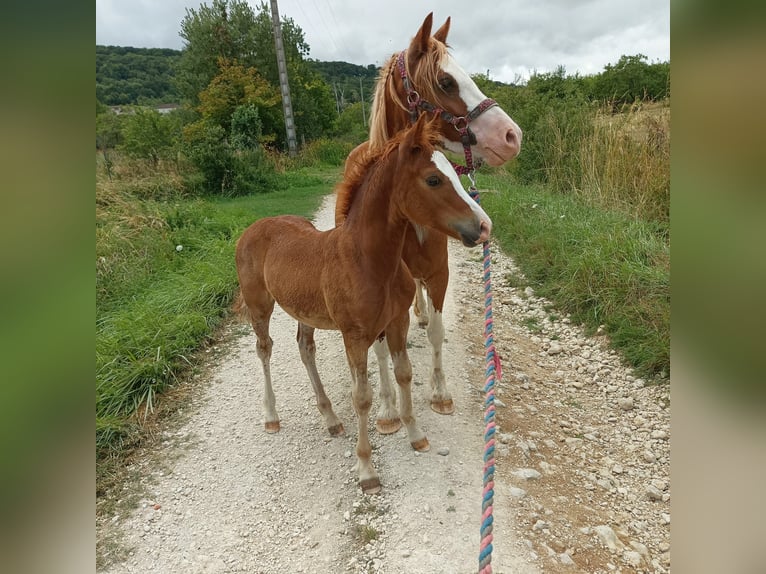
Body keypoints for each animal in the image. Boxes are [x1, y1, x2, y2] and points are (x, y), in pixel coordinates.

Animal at [234, 117, 492, 496]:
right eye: (433, 179)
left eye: (456, 173)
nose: (484, 226)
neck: (369, 261)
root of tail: (253, 227)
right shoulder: (354, 336)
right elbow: (362, 397)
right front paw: (367, 470)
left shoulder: (396, 321)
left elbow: (404, 373)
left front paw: (415, 435)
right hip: (259, 305)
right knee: (264, 348)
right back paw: (271, 416)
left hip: (303, 309)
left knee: (305, 348)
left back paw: (330, 418)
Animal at [336, 11, 520, 434]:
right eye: (445, 81)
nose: (511, 136)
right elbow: (381, 350)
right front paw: (388, 408)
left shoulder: (439, 273)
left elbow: (437, 331)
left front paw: (440, 393)